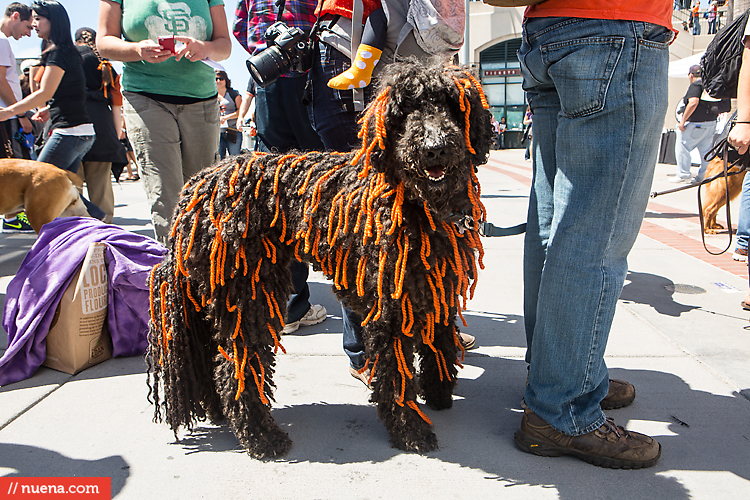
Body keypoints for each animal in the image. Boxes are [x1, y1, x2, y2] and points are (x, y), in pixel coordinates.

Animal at [149, 60, 496, 458]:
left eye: (452, 106)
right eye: (406, 110)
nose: (434, 148)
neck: (415, 201)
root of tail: (196, 186)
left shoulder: (436, 285)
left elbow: (439, 341)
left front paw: (438, 391)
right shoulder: (389, 306)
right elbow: (396, 372)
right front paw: (410, 428)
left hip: (215, 294)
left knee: (213, 354)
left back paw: (221, 412)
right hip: (247, 292)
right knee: (235, 366)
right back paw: (261, 436)